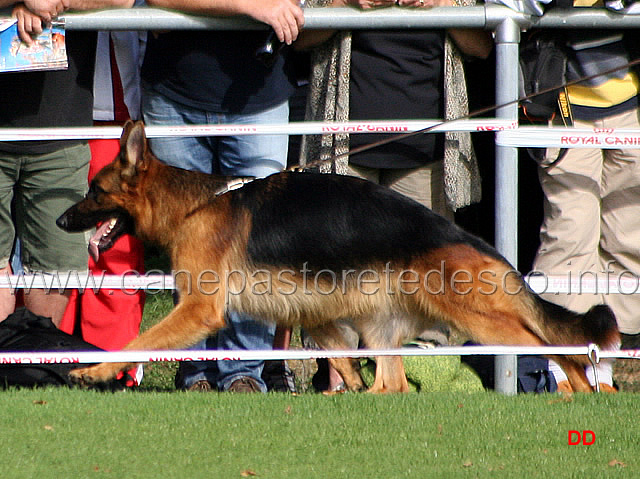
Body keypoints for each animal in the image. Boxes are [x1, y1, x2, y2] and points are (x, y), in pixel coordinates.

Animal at [57, 123, 616, 394]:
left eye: (93, 191)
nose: (61, 220)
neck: (195, 203)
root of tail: (473, 242)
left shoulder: (198, 308)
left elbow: (141, 341)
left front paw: (94, 372)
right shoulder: (312, 313)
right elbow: (343, 362)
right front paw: (340, 390)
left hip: (480, 316)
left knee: (556, 349)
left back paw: (582, 395)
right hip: (381, 324)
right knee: (393, 386)